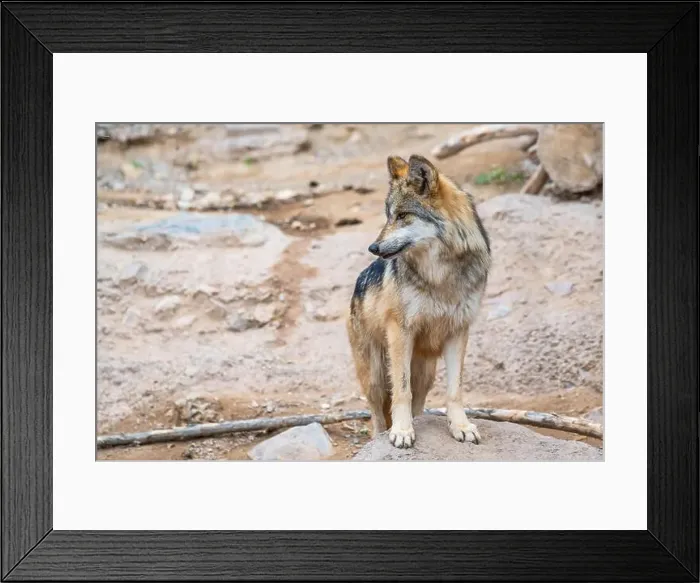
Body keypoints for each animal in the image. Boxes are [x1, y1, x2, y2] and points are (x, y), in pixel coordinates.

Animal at [346, 154, 491, 448]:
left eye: (403, 215)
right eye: (388, 215)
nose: (373, 248)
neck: (440, 275)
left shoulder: (459, 331)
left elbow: (455, 390)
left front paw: (460, 426)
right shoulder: (400, 331)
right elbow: (402, 391)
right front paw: (402, 431)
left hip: (425, 374)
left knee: (419, 403)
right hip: (375, 376)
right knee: (377, 415)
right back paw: (381, 435)